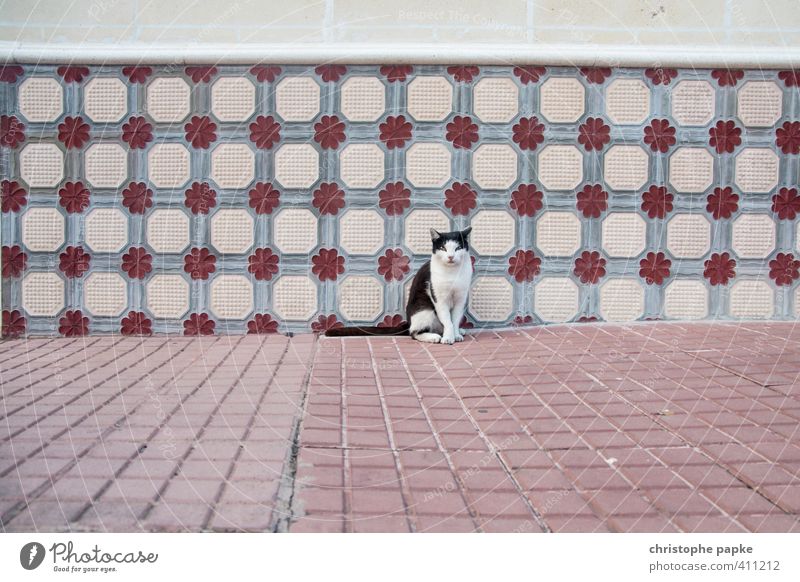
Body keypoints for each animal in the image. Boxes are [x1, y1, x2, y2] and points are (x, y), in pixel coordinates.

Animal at [326, 228, 476, 344]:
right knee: (414, 333)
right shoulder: (438, 297)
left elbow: (454, 319)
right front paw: (449, 337)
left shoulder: (460, 298)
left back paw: (458, 331)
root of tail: (408, 321)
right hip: (424, 309)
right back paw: (433, 337)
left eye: (458, 248)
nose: (450, 257)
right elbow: (447, 319)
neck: (452, 273)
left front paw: (455, 334)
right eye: (443, 248)